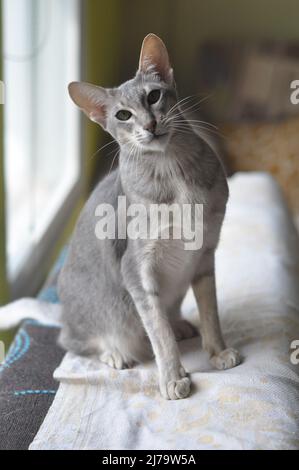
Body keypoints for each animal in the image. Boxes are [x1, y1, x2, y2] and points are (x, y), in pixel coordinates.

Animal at [58, 34, 241, 400]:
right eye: (123, 115)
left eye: (153, 96)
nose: (150, 124)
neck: (173, 172)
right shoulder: (137, 269)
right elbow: (159, 332)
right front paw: (171, 378)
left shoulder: (205, 254)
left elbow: (210, 313)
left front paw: (217, 352)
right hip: (97, 309)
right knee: (74, 341)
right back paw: (114, 352)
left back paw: (181, 324)